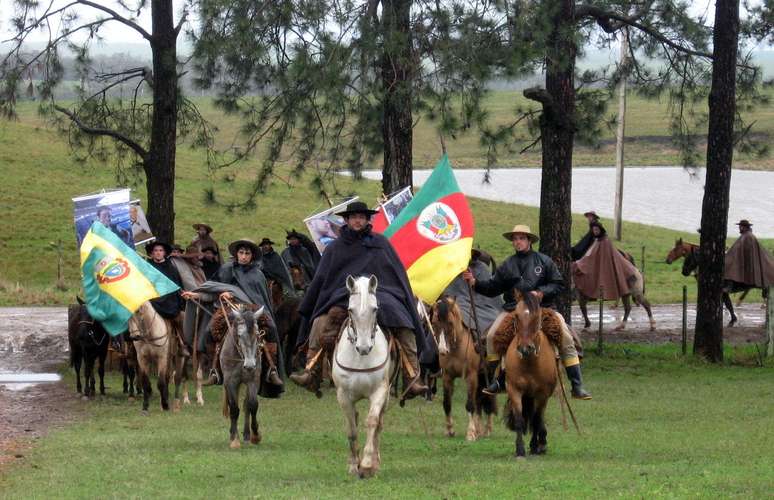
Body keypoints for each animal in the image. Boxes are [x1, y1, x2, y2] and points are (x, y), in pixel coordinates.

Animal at [330, 276, 398, 478]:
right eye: (350, 310)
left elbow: (372, 422)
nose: (364, 348)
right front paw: (354, 465)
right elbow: (351, 429)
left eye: (374, 309)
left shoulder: (380, 391)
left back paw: (375, 462)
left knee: (379, 424)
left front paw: (367, 465)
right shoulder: (343, 395)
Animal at [430, 294, 498, 440]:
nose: (442, 350)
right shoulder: (447, 377)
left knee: (488, 399)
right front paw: (450, 430)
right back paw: (479, 429)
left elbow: (470, 405)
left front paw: (470, 433)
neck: (456, 348)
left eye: (450, 322)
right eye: (434, 323)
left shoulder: (471, 377)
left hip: (488, 375)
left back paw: (487, 429)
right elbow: (447, 403)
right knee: (479, 401)